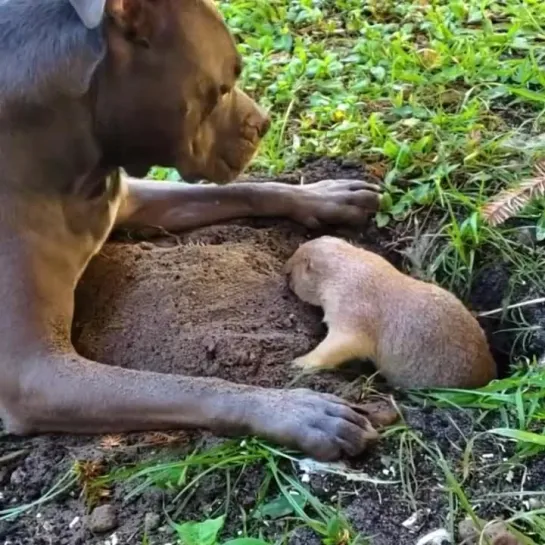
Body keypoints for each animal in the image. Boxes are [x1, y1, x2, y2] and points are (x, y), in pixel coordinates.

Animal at [0, 0, 382, 460]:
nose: (265, 123)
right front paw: (294, 410)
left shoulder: (125, 200)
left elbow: (246, 189)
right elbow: (179, 384)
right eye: (222, 86)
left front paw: (323, 196)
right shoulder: (36, 374)